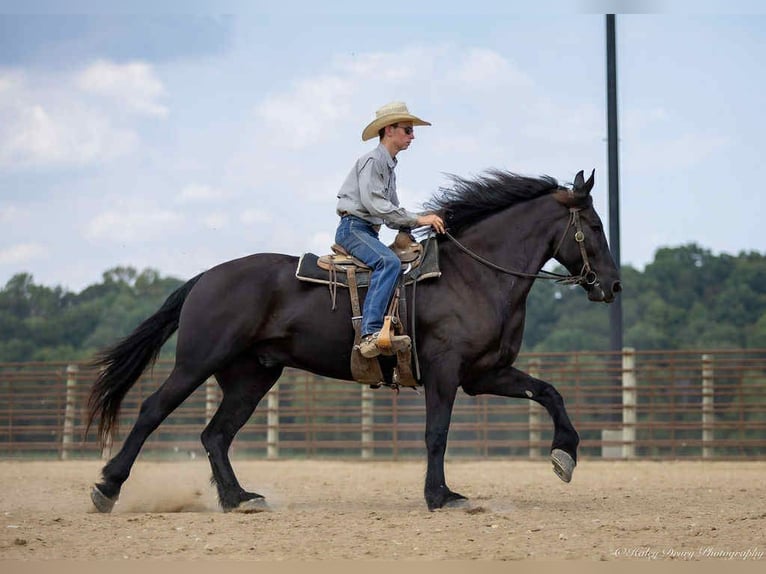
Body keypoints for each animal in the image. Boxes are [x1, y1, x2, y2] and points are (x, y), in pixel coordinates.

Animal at [86, 168, 621, 512]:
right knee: (153, 410)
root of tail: (206, 277)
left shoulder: (485, 373)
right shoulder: (445, 371)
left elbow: (550, 392)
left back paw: (239, 499)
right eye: (594, 225)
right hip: (197, 362)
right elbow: (437, 433)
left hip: (251, 377)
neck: (474, 275)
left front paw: (564, 457)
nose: (613, 286)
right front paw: (441, 496)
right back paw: (107, 488)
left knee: (216, 435)